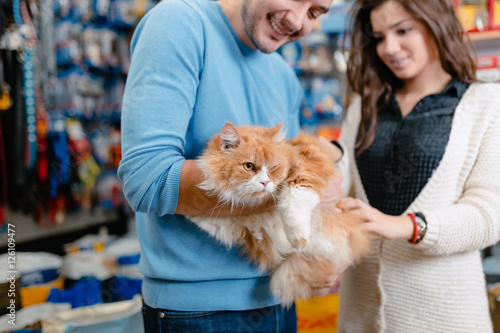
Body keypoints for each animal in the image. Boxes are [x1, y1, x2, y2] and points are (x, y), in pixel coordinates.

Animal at [189, 120, 370, 304]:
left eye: (273, 167)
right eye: (248, 166)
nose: (265, 182)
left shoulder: (308, 161)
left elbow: (292, 199)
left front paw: (298, 237)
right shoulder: (240, 229)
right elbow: (207, 218)